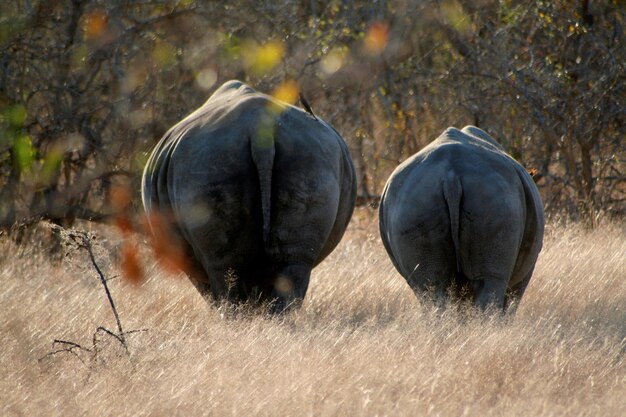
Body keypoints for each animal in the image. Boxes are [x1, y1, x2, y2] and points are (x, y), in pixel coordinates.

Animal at [143, 79, 356, 310]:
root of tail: (258, 128)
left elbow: (207, 287)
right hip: (310, 157)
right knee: (295, 261)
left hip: (207, 160)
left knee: (225, 267)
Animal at [378, 126, 544, 308]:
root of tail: (451, 175)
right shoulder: (525, 274)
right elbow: (512, 301)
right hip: (495, 198)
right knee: (491, 281)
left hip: (413, 204)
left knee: (431, 286)